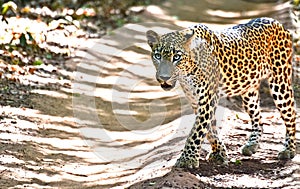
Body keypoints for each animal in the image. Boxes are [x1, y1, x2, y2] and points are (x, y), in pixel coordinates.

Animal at [146, 17, 298, 168]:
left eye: (177, 57)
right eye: (157, 56)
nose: (164, 77)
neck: (186, 72)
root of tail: (277, 22)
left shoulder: (207, 98)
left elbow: (197, 131)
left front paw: (187, 159)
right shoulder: (195, 100)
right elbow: (209, 129)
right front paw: (219, 153)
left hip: (280, 83)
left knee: (291, 113)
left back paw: (289, 149)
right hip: (249, 91)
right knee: (258, 117)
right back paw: (252, 145)